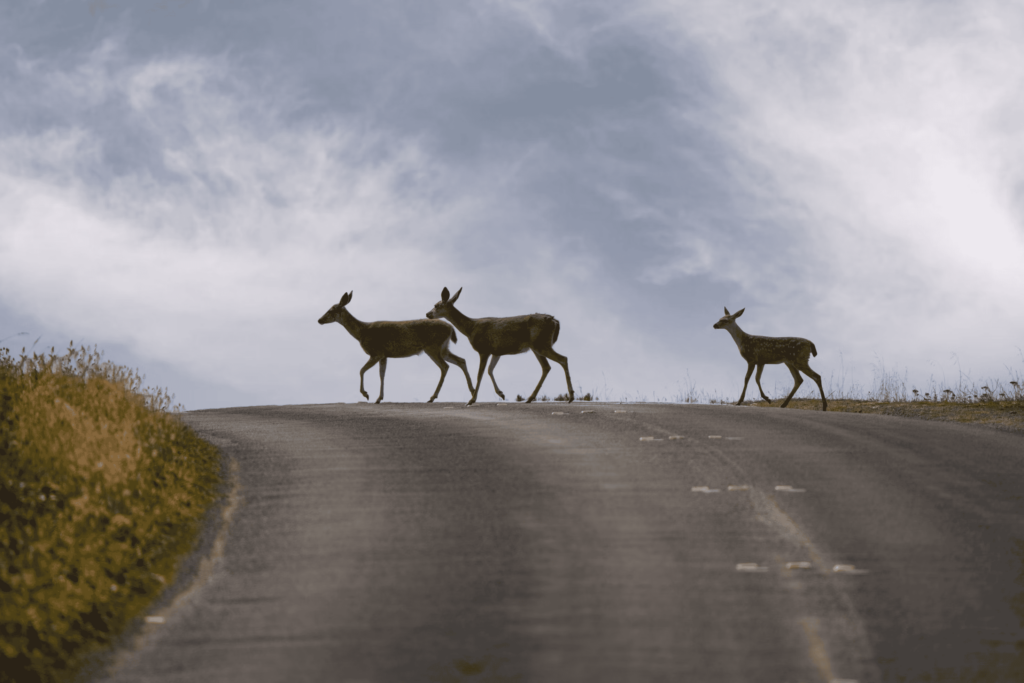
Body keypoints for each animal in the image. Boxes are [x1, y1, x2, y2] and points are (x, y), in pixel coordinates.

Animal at [318, 291, 474, 404]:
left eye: (331, 310)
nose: (319, 320)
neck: (362, 332)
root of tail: (451, 328)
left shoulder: (376, 352)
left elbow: (361, 370)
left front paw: (366, 394)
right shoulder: (384, 355)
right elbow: (382, 374)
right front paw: (379, 398)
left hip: (432, 347)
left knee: (445, 366)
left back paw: (432, 397)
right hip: (443, 348)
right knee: (461, 360)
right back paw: (472, 392)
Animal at [426, 287, 573, 405]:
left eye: (436, 305)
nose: (427, 314)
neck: (470, 328)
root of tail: (554, 320)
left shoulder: (483, 349)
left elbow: (480, 374)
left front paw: (472, 400)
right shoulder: (496, 352)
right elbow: (490, 370)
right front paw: (501, 393)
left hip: (541, 344)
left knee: (563, 359)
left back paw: (570, 397)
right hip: (537, 347)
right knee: (546, 367)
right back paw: (531, 398)